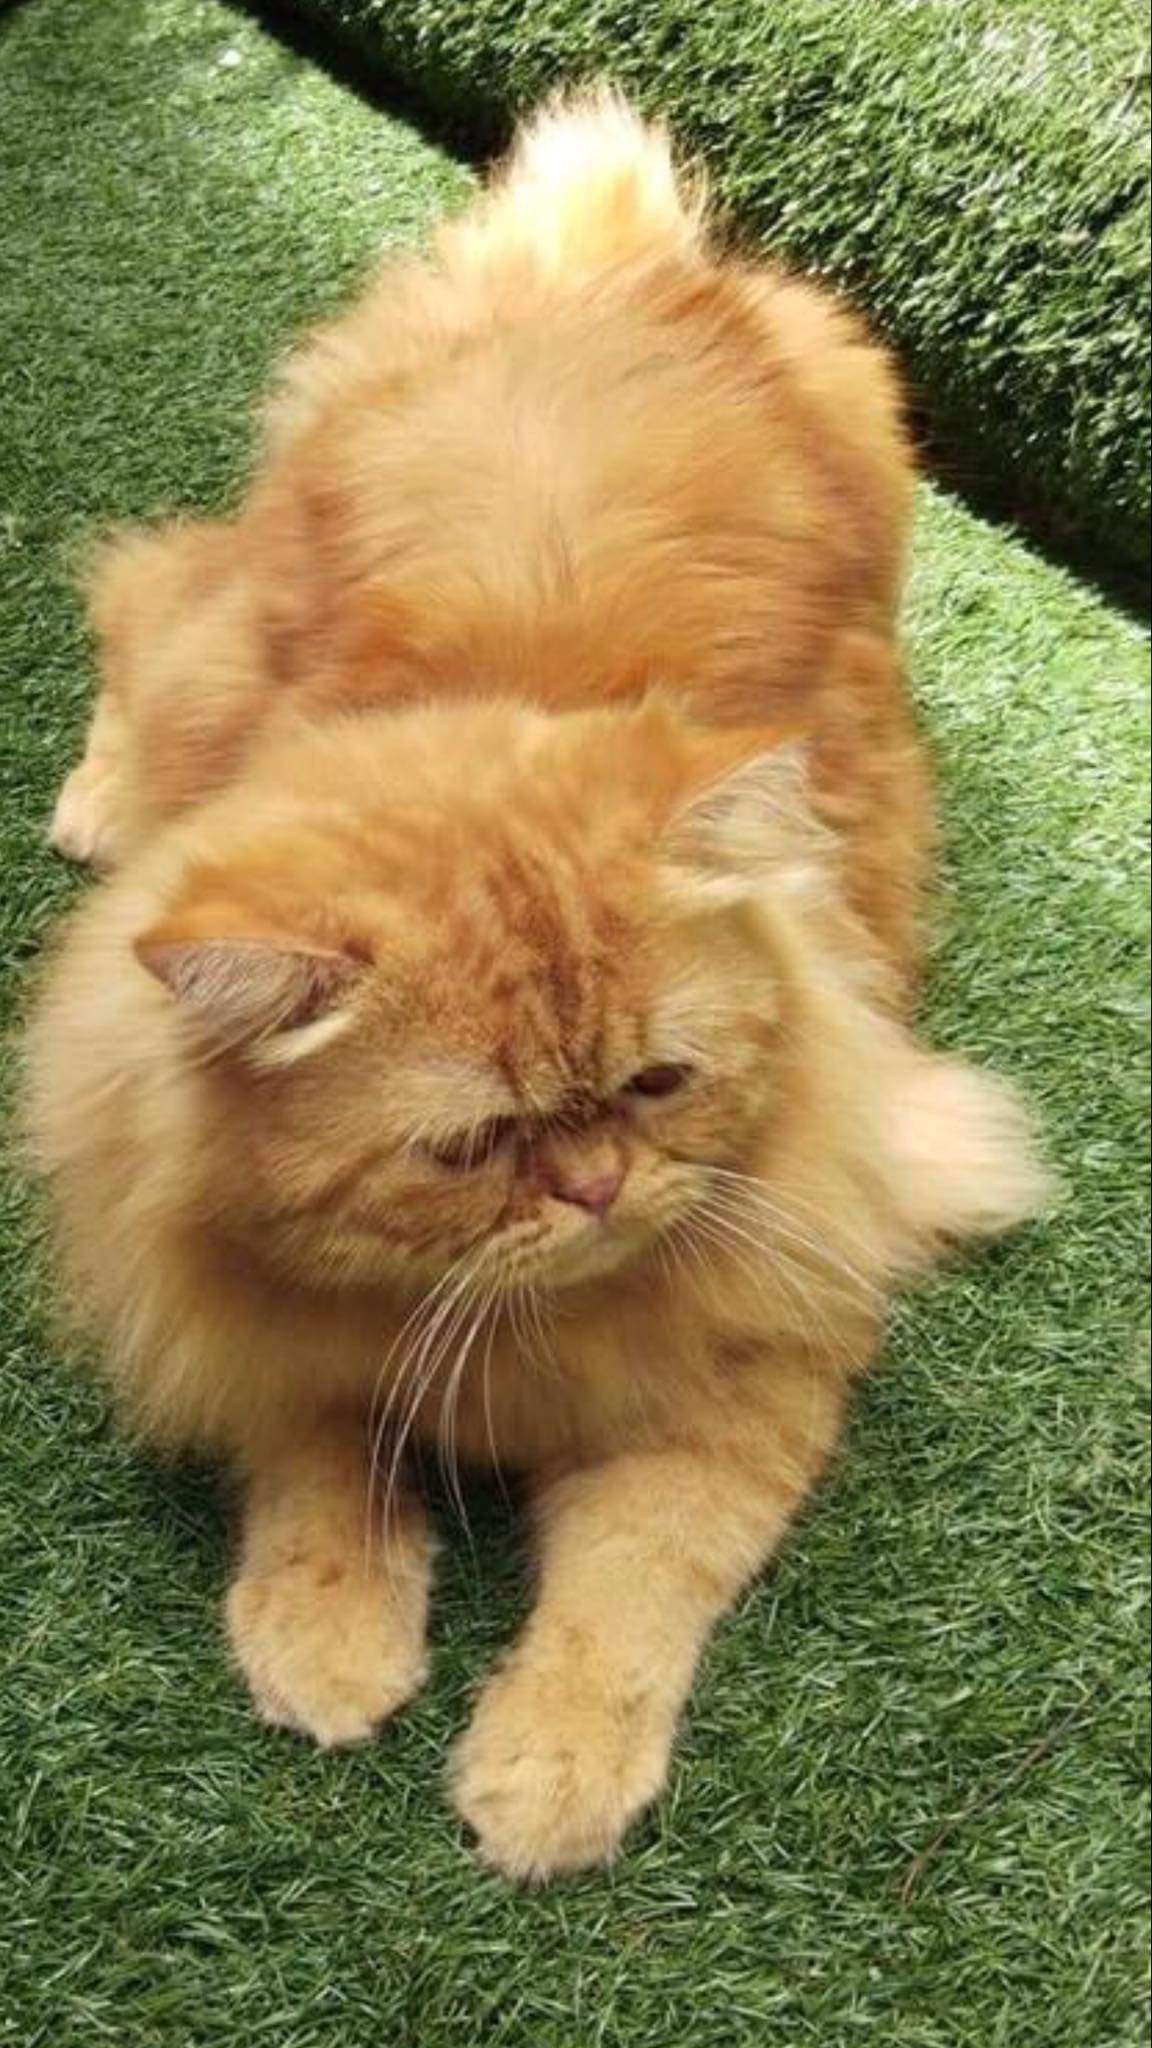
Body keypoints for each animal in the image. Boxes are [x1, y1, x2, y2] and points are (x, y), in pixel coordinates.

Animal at [23, 92, 1048, 1880]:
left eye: (657, 1083)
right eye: (469, 1147)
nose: (595, 1187)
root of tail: (606, 260)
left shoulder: (764, 1357)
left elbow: (633, 1587)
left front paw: (549, 1768)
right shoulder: (228, 1297)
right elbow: (319, 1467)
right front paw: (329, 1636)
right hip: (220, 640)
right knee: (141, 598)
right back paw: (99, 802)